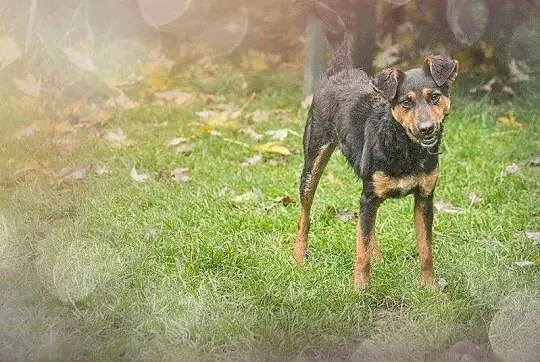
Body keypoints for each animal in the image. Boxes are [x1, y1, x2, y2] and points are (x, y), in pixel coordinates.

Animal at [294, 0, 458, 288]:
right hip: (313, 162)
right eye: (406, 102)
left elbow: (426, 250)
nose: (426, 128)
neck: (405, 147)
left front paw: (431, 288)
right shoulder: (369, 196)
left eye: (435, 97)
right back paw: (300, 256)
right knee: (306, 212)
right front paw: (360, 288)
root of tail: (340, 69)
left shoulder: (424, 199)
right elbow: (361, 251)